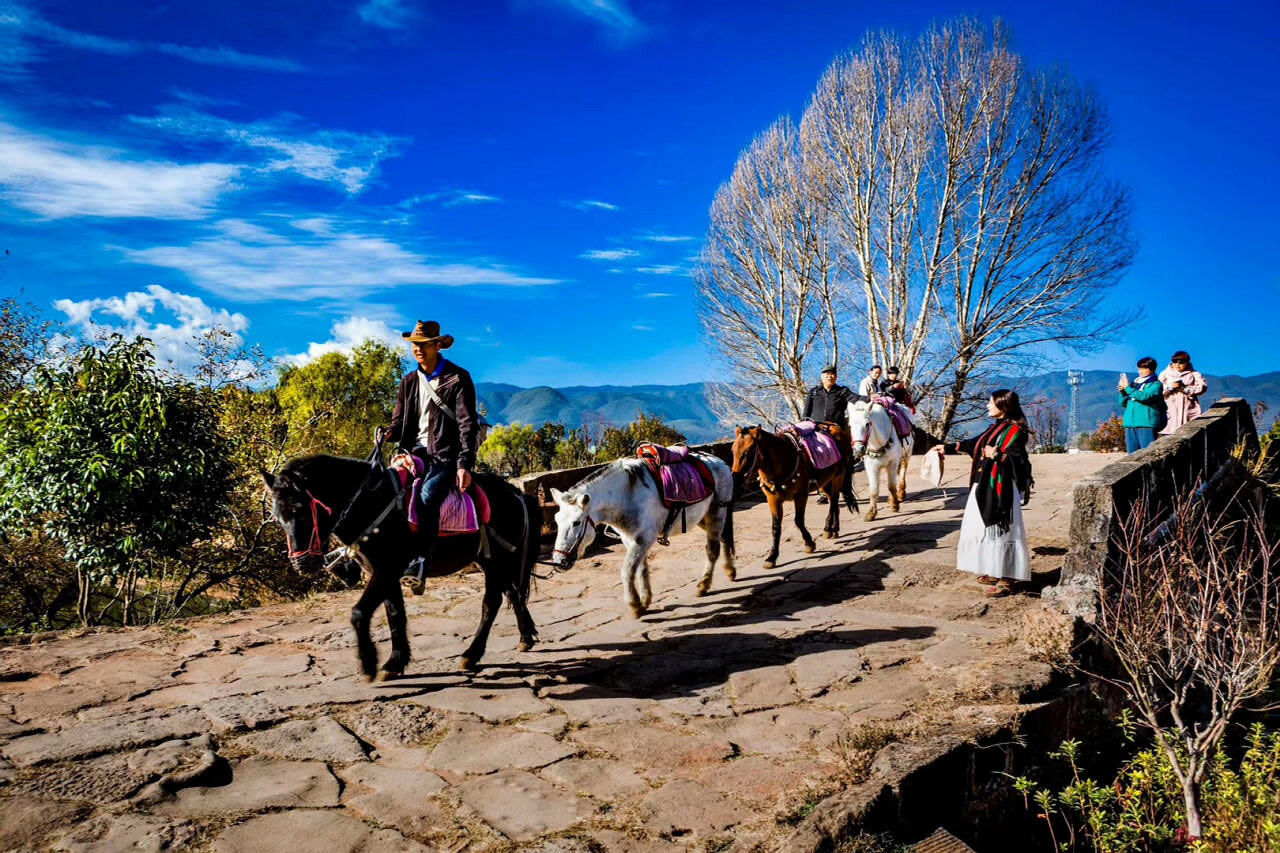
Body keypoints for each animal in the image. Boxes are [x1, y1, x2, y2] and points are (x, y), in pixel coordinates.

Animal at [262, 455, 537, 676]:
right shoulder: (386, 575)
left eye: (301, 512)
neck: (369, 505)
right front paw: (395, 662)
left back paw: (472, 654)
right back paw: (526, 636)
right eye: (278, 517)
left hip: (496, 560)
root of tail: (515, 493)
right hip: (489, 560)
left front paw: (369, 663)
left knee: (492, 602)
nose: (302, 563)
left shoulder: (385, 571)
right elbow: (395, 615)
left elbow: (359, 613)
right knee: (512, 593)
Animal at [547, 440, 737, 614]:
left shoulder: (643, 538)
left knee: (712, 549)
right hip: (704, 518)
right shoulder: (630, 539)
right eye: (557, 521)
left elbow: (627, 569)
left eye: (576, 522)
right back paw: (730, 570)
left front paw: (634, 605)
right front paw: (645, 599)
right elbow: (640, 568)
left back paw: (704, 585)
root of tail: (720, 463)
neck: (626, 495)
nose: (559, 561)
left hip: (717, 512)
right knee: (724, 537)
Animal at [727, 422, 855, 563]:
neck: (783, 460)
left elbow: (798, 520)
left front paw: (809, 543)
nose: (736, 483)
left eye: (749, 451)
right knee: (833, 500)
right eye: (733, 450)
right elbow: (776, 527)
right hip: (825, 482)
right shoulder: (773, 499)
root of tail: (834, 426)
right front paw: (772, 556)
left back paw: (830, 528)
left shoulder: (801, 496)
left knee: (834, 502)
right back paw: (833, 529)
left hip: (839, 475)